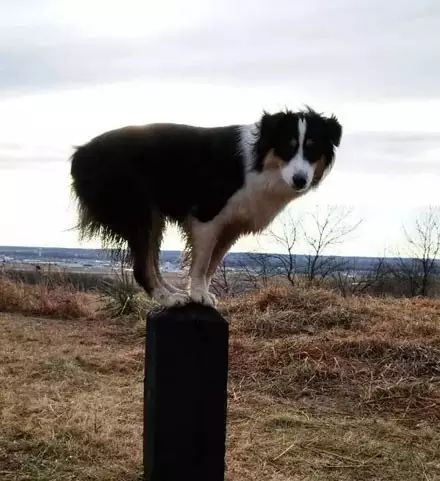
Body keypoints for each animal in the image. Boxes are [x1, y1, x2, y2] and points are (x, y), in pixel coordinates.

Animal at [70, 107, 342, 306]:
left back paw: (173, 292)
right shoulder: (207, 216)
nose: (300, 180)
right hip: (139, 211)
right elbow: (201, 263)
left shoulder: (231, 226)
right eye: (288, 146)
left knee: (151, 262)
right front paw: (199, 295)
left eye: (312, 149)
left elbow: (212, 263)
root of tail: (80, 153)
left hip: (152, 217)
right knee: (141, 268)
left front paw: (200, 292)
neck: (260, 165)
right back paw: (168, 299)